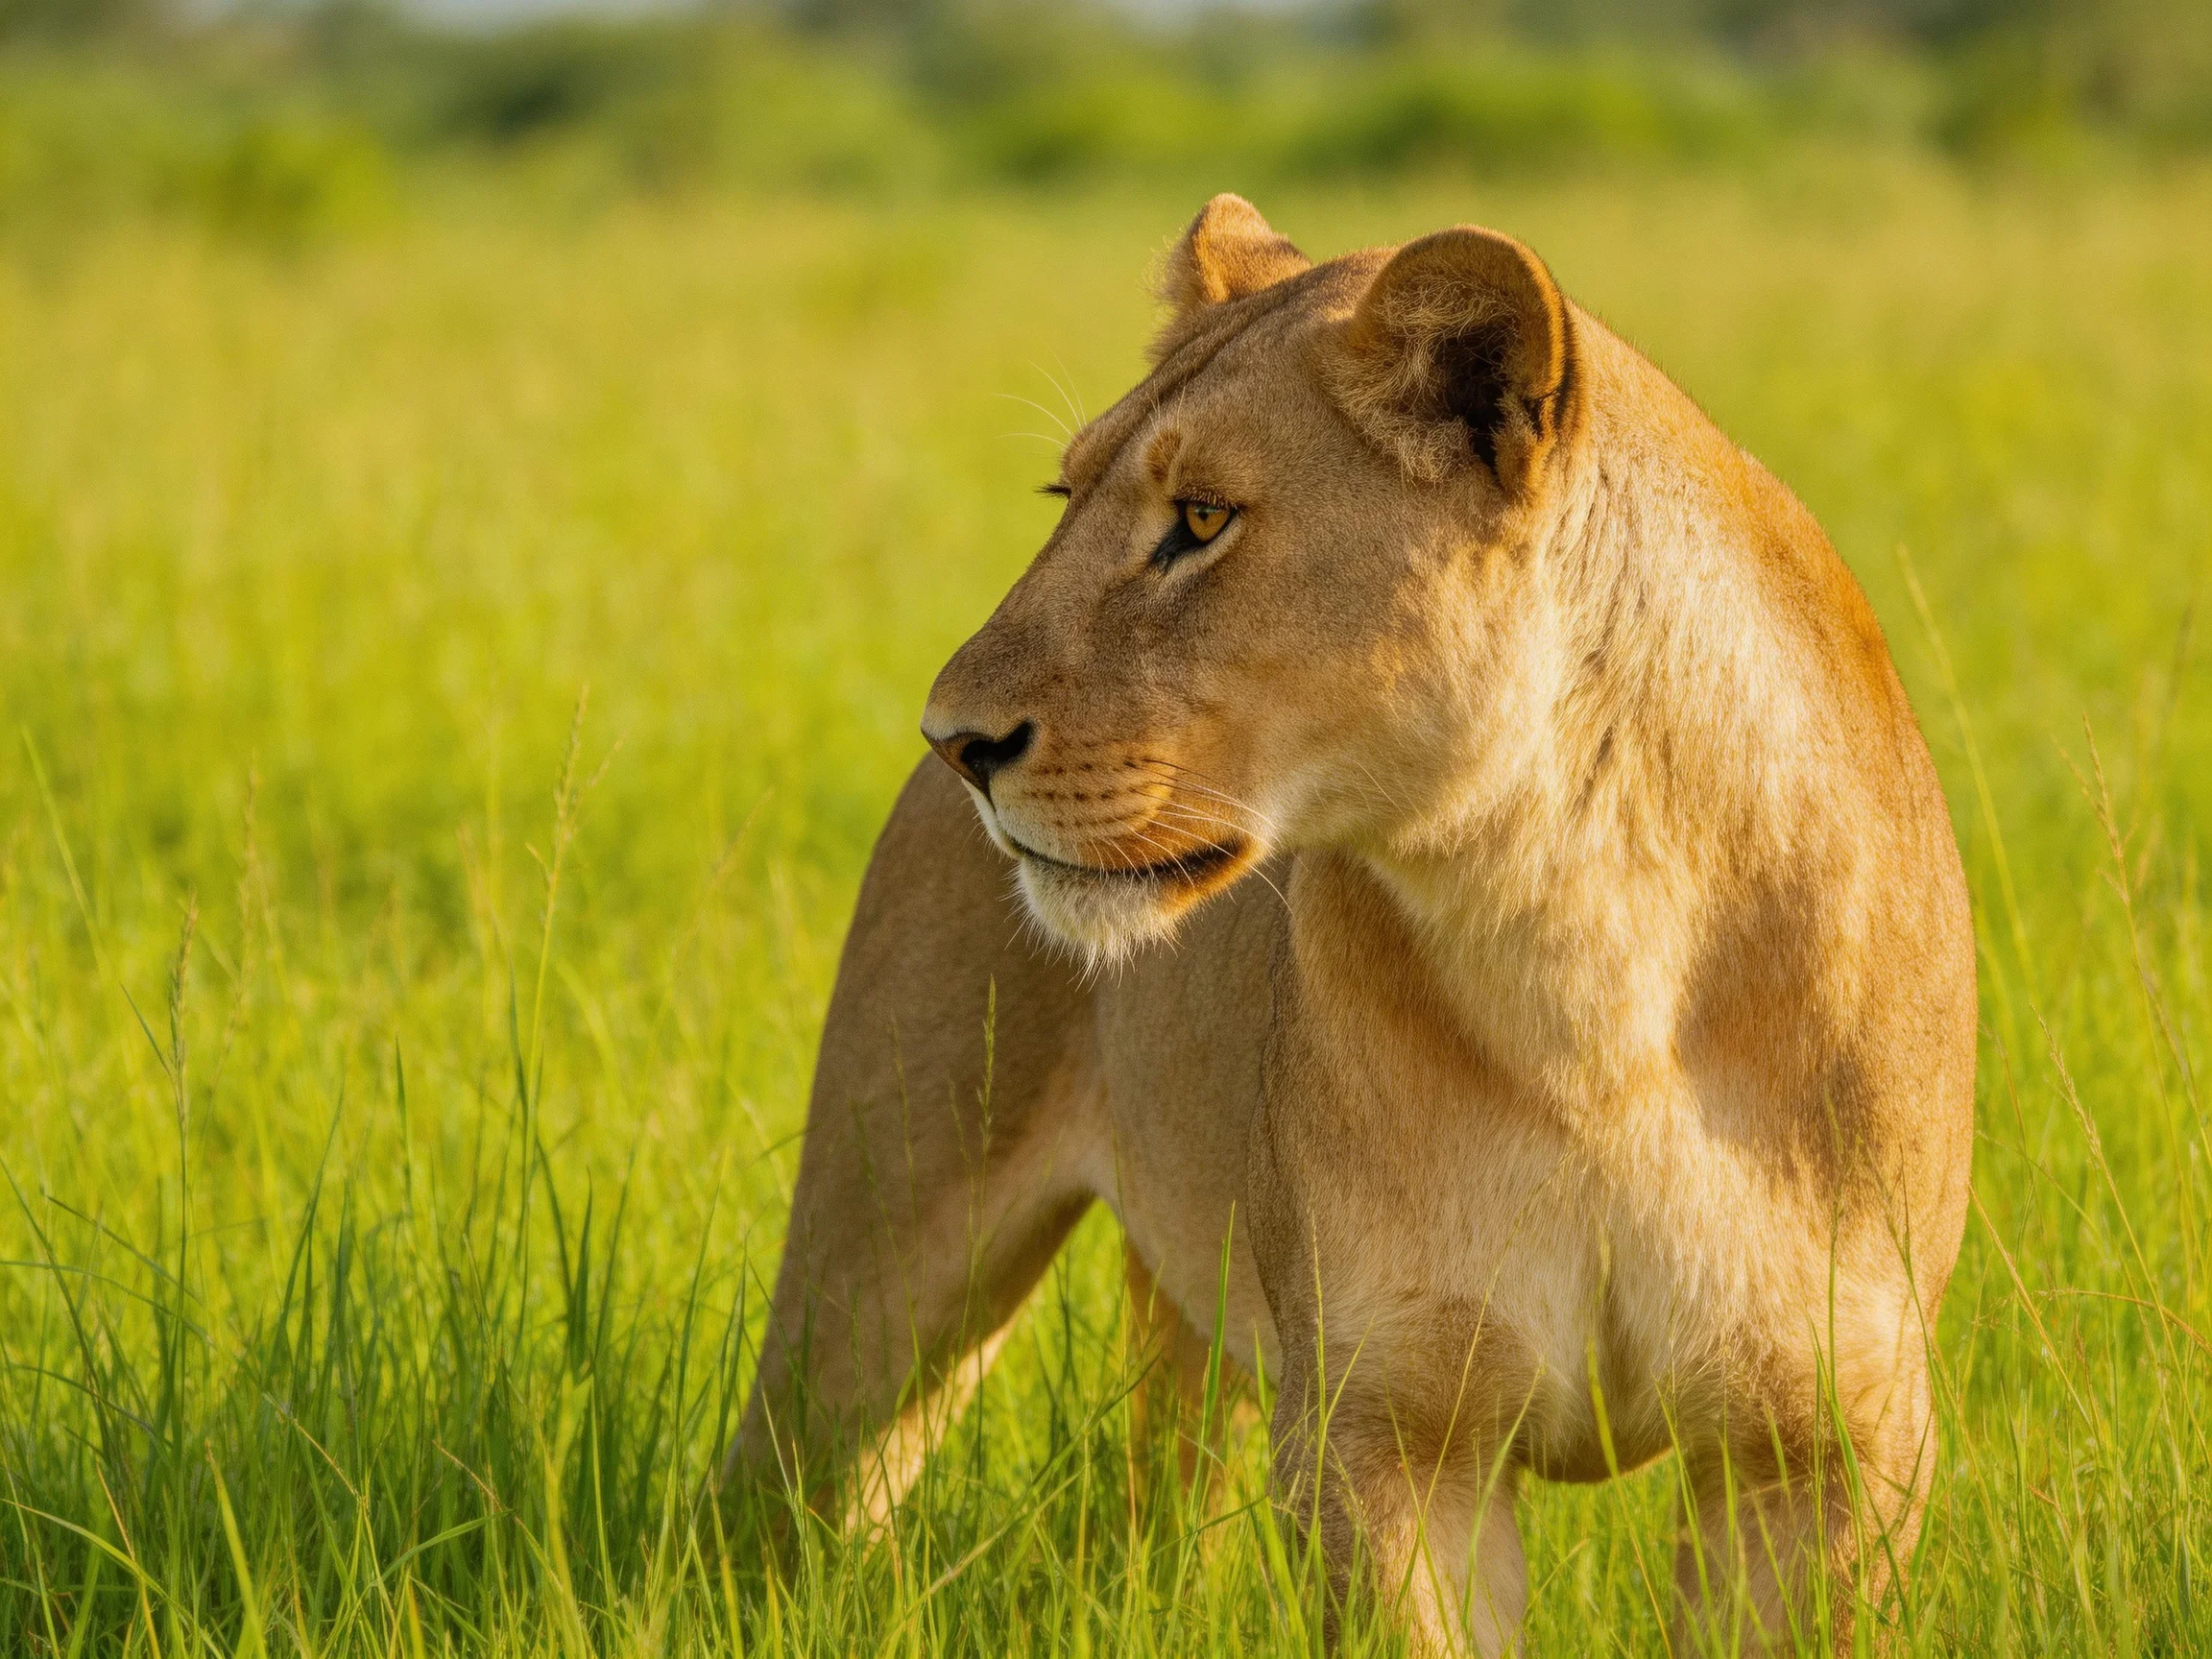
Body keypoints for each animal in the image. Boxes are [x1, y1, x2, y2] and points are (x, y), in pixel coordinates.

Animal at [721, 196, 1976, 1655]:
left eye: (1202, 517)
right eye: (1066, 496)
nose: (953, 740)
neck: (1582, 942)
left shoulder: (1824, 1451)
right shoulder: (1383, 1430)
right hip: (882, 1249)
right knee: (781, 1496)